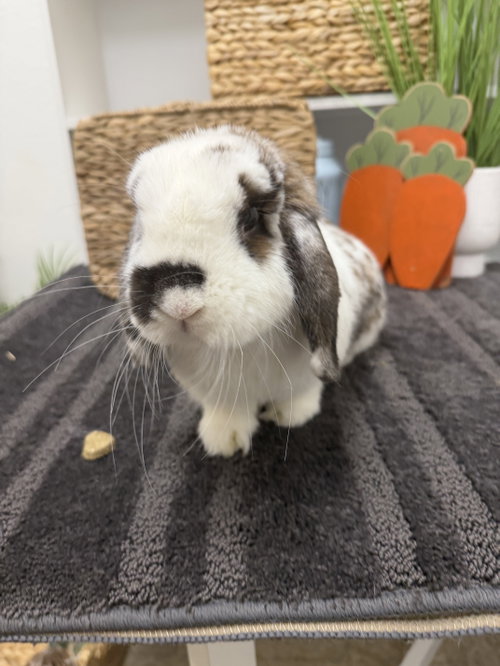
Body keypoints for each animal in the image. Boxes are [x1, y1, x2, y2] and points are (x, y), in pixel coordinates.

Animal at [120, 125, 386, 457]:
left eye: (250, 218)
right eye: (140, 224)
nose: (178, 303)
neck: (240, 349)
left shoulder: (304, 381)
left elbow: (303, 394)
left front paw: (290, 417)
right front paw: (223, 442)